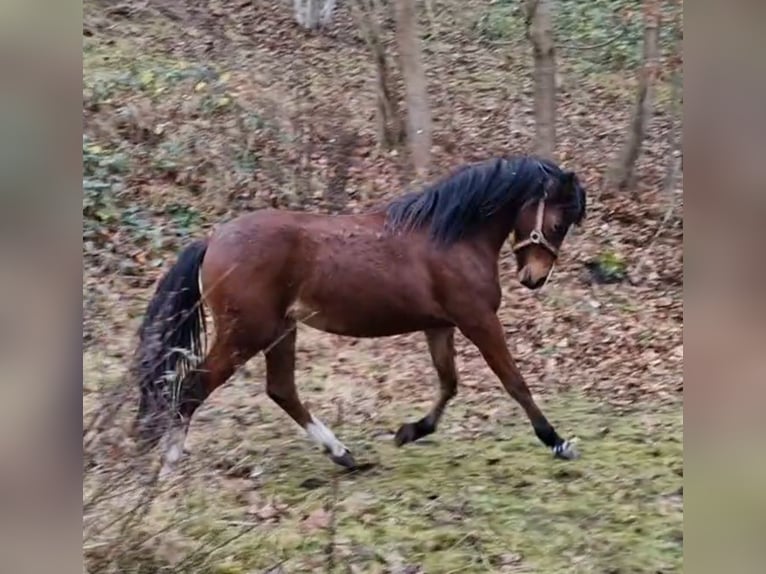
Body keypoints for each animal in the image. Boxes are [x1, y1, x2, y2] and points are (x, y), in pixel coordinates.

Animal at [130, 155, 588, 474]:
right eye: (560, 221)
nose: (534, 278)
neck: (452, 236)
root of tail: (212, 239)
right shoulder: (477, 320)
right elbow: (515, 383)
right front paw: (557, 442)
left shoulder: (440, 327)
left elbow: (448, 384)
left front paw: (409, 432)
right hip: (246, 334)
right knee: (192, 388)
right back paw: (170, 464)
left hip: (280, 330)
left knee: (281, 390)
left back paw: (342, 454)